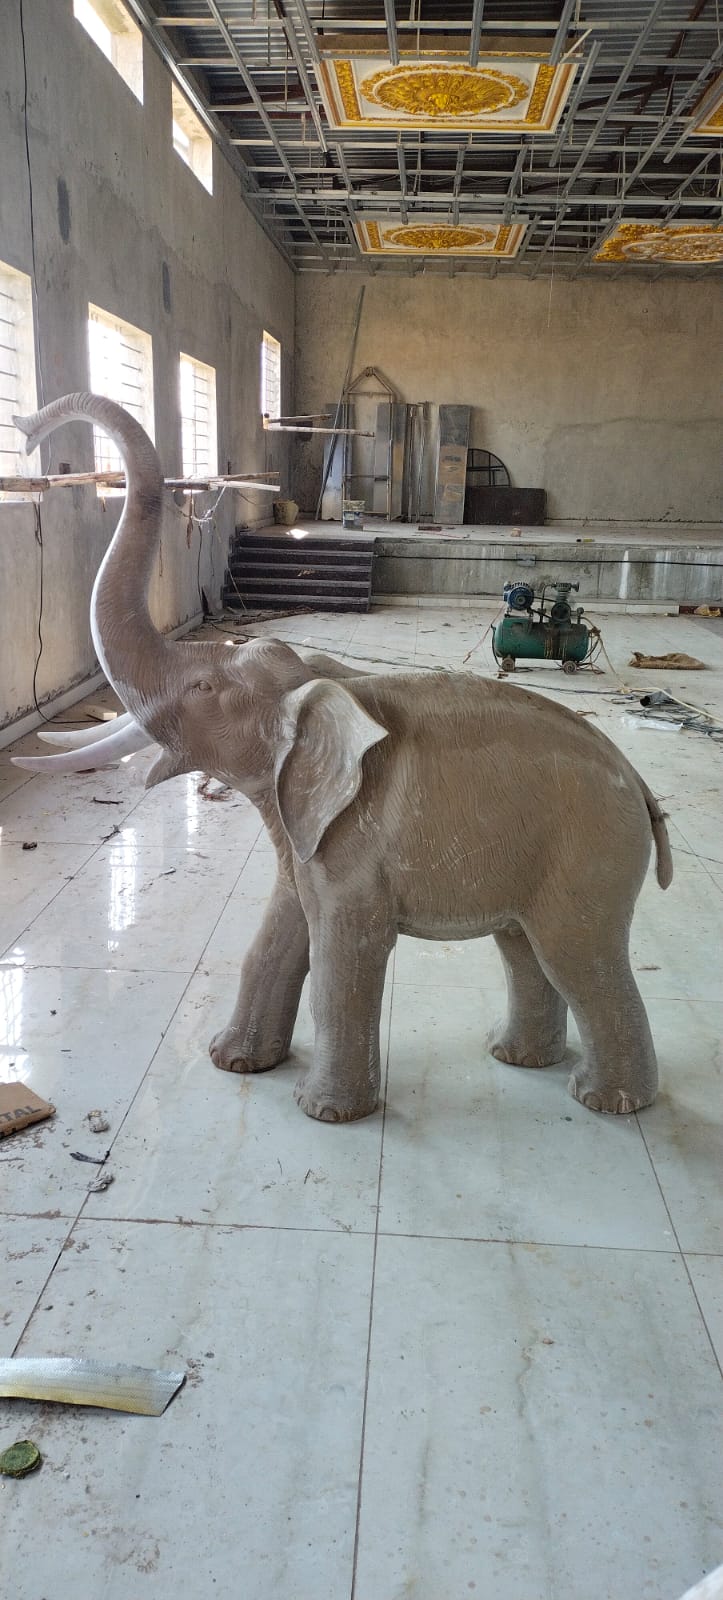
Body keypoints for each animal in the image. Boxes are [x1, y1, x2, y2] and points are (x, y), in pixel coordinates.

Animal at [12, 393, 673, 1123]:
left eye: (204, 689)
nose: (30, 429)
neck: (319, 681)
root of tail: (643, 789)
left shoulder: (356, 838)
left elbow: (343, 948)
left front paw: (323, 1113)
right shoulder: (306, 830)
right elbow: (280, 931)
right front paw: (232, 1062)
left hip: (589, 857)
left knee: (574, 955)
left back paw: (605, 1101)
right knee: (521, 944)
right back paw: (515, 1058)